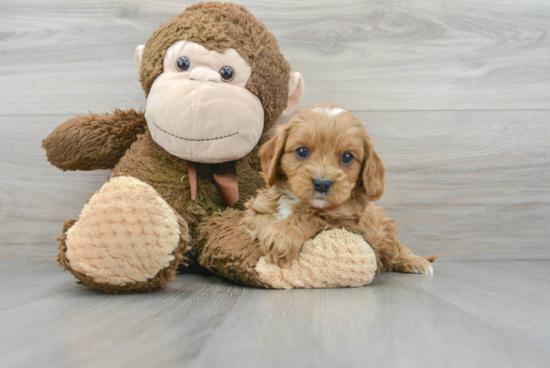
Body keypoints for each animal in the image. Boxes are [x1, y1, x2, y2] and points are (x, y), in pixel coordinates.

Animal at [244, 103, 438, 274]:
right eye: (302, 151)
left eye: (347, 157)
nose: (322, 183)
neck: (298, 200)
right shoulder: (255, 211)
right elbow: (263, 219)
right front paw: (275, 234)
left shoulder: (347, 226)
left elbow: (313, 217)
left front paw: (283, 237)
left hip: (386, 231)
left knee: (397, 250)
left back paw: (417, 262)